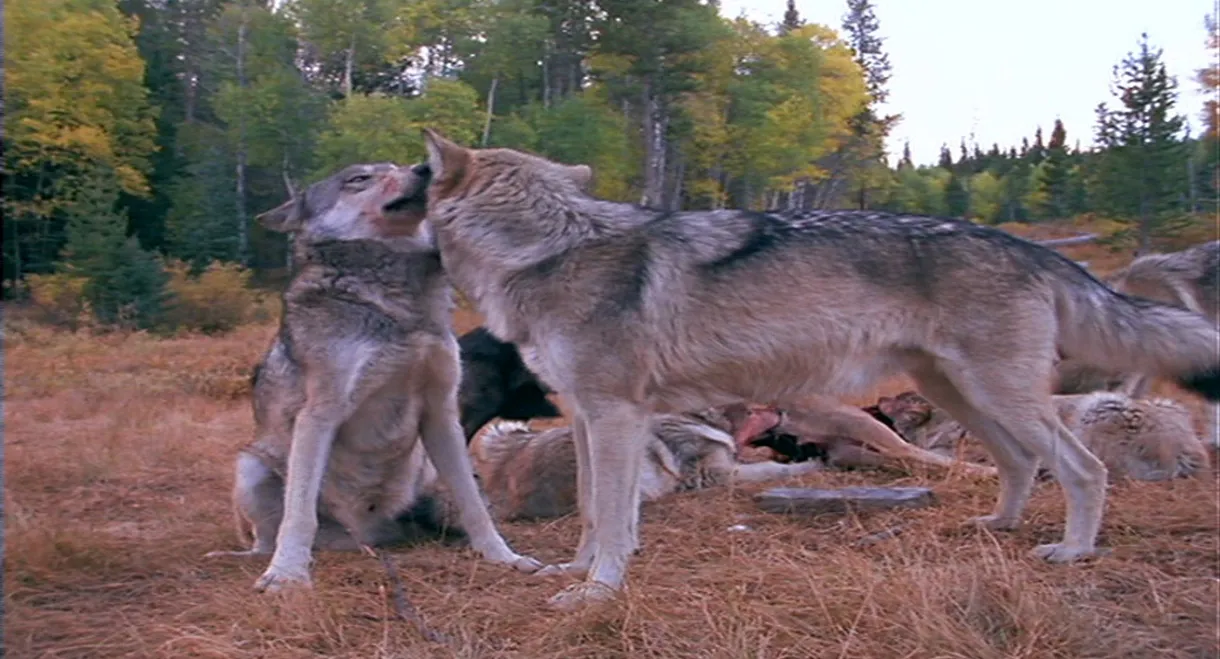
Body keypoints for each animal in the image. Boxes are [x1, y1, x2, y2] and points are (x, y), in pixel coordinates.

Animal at [204, 162, 541, 593]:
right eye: (359, 179)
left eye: (398, 166)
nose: (426, 167)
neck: (396, 303)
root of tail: (368, 534)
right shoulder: (319, 415)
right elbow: (299, 515)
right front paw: (287, 575)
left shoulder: (441, 412)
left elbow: (474, 505)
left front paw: (503, 557)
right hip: (250, 466)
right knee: (267, 539)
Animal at [469, 410, 823, 522]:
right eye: (759, 409)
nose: (783, 411)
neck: (699, 418)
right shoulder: (721, 474)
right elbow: (769, 470)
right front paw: (806, 466)